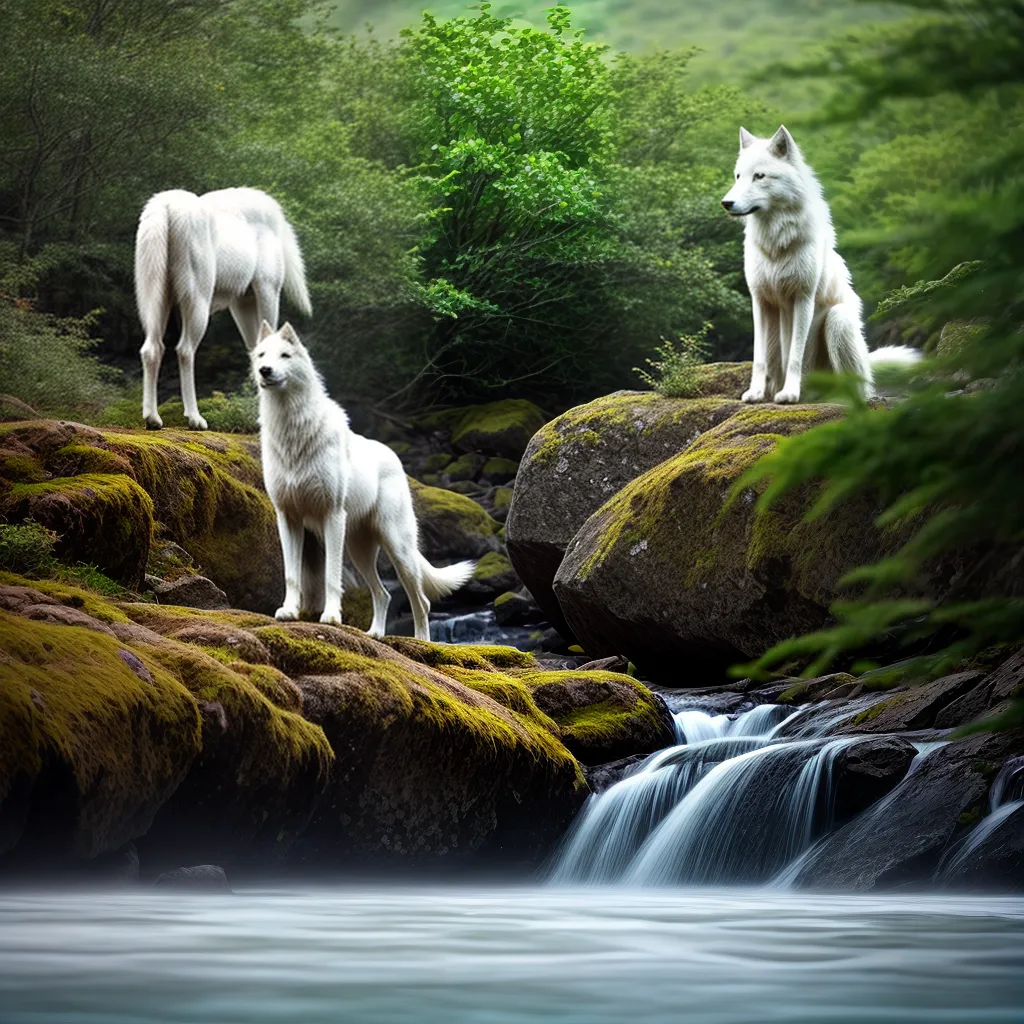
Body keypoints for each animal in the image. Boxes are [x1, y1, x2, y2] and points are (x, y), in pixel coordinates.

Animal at [135, 187, 311, 431]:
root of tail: (166, 208)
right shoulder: (267, 289)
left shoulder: (242, 301)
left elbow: (255, 350)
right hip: (198, 300)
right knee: (184, 350)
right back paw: (196, 419)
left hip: (154, 297)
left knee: (151, 349)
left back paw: (152, 418)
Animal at [253, 321, 475, 639]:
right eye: (261, 355)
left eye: (285, 355)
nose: (265, 371)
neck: (292, 432)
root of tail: (395, 457)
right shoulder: (288, 518)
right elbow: (291, 575)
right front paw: (289, 612)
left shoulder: (332, 516)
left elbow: (331, 577)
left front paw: (331, 617)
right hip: (359, 551)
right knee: (385, 594)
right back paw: (375, 635)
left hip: (397, 548)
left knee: (421, 601)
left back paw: (423, 642)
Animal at [722, 125, 918, 403]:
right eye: (738, 176)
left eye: (759, 176)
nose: (726, 203)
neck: (776, 244)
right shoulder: (759, 300)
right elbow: (759, 358)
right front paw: (756, 393)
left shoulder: (803, 298)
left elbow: (795, 354)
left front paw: (789, 394)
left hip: (839, 320)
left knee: (860, 390)